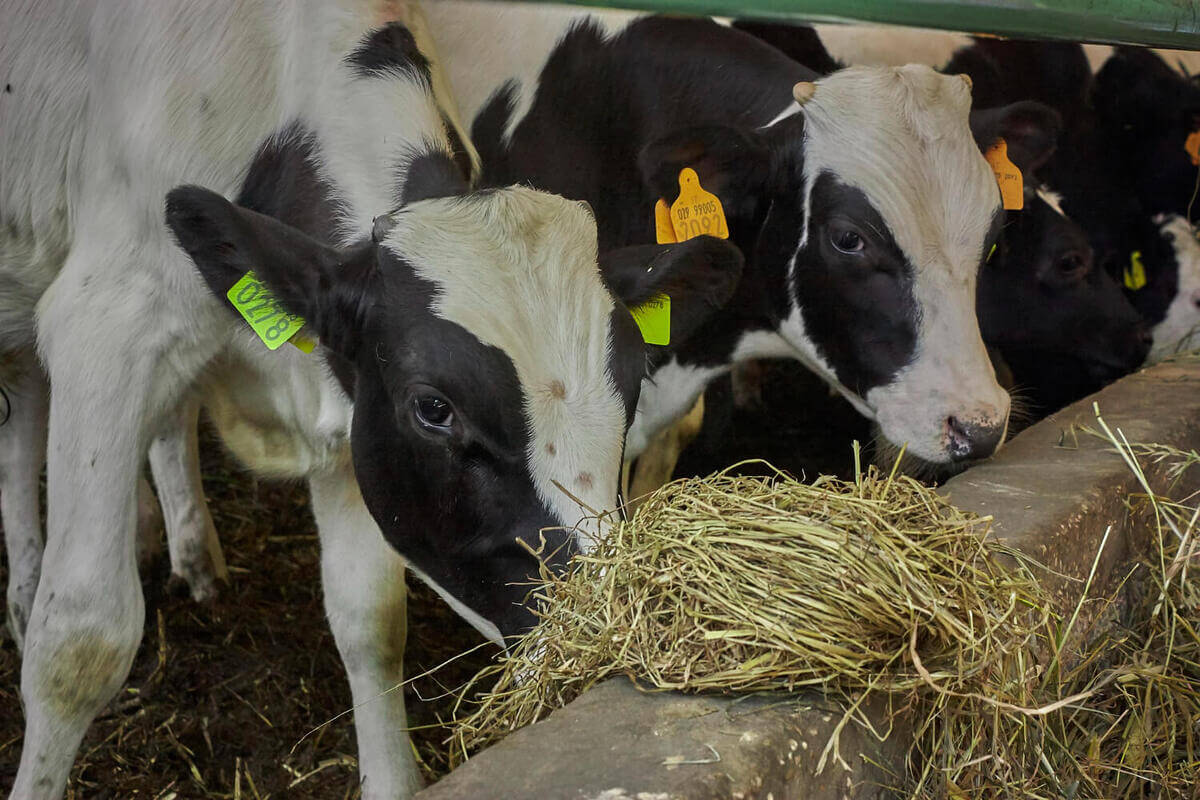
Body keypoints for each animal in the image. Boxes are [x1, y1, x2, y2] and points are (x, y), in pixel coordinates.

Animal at [0, 3, 739, 796]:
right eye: (435, 408)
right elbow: (81, 640)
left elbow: (371, 618)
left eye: (631, 381)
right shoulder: (105, 327)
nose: (610, 635)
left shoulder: (351, 408)